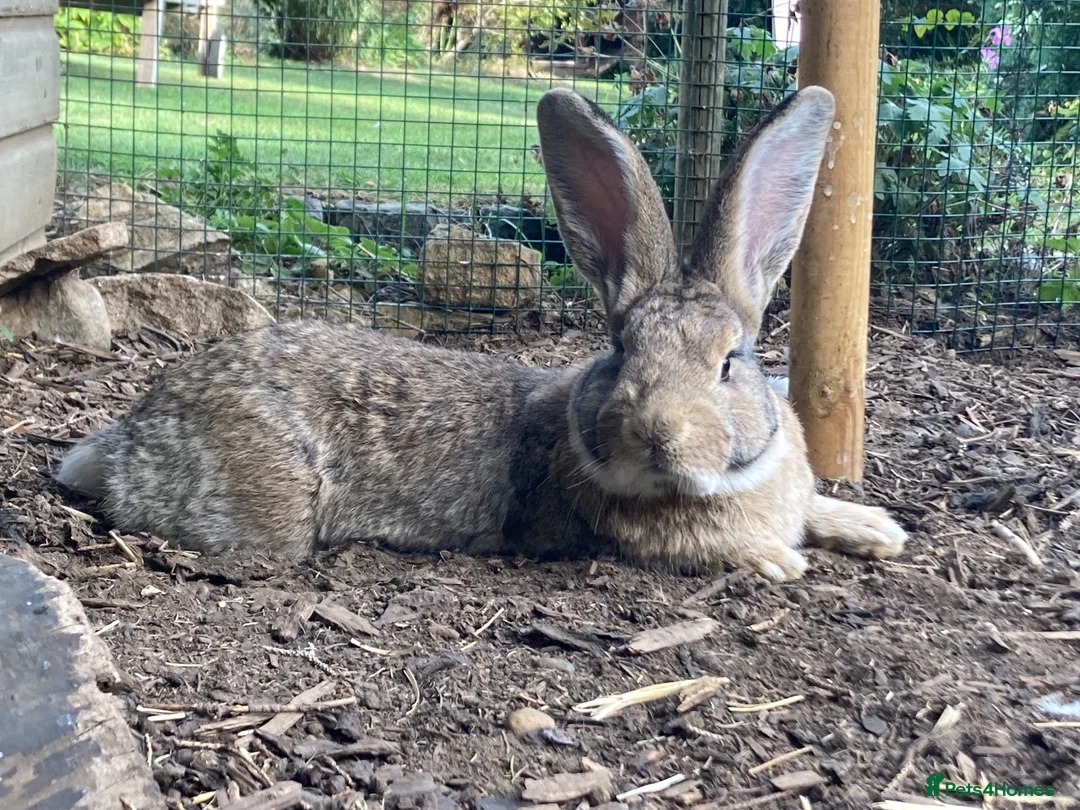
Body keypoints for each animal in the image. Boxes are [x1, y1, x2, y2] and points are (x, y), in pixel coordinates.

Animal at [55, 85, 907, 582]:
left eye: (731, 361)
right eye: (624, 350)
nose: (657, 433)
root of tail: (132, 437)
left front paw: (877, 530)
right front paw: (778, 559)